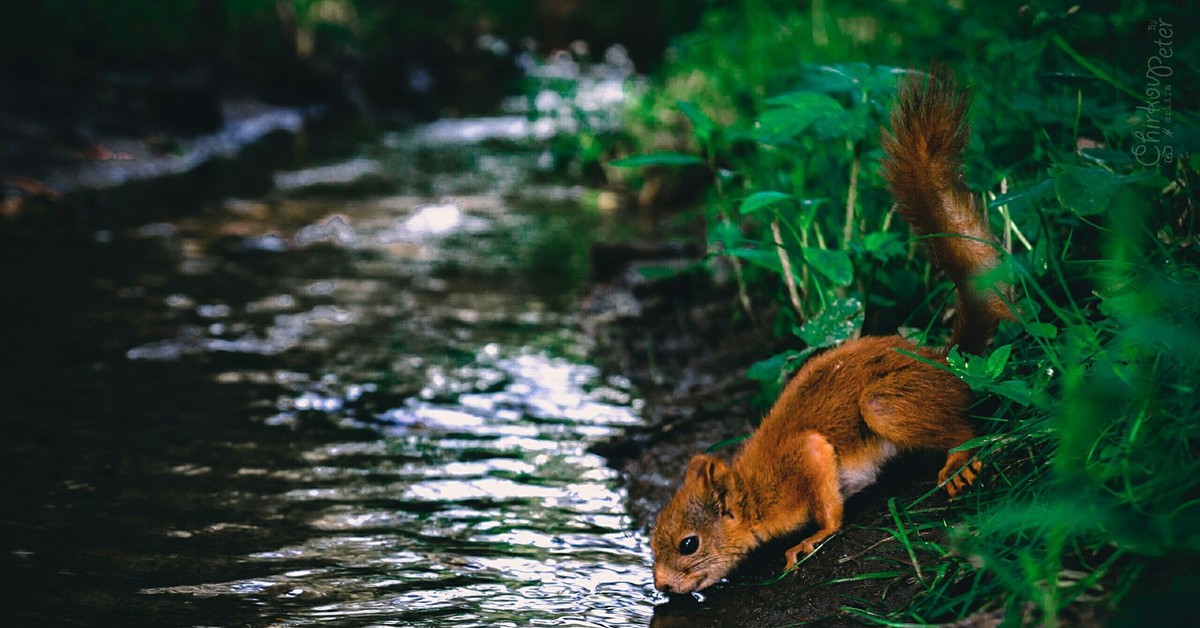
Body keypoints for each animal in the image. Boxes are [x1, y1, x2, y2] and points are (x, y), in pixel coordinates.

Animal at [648, 67, 1012, 595]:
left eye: (688, 544)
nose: (661, 586)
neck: (755, 491)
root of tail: (948, 361)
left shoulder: (806, 456)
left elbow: (826, 499)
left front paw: (812, 538)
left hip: (886, 403)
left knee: (968, 429)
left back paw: (959, 462)